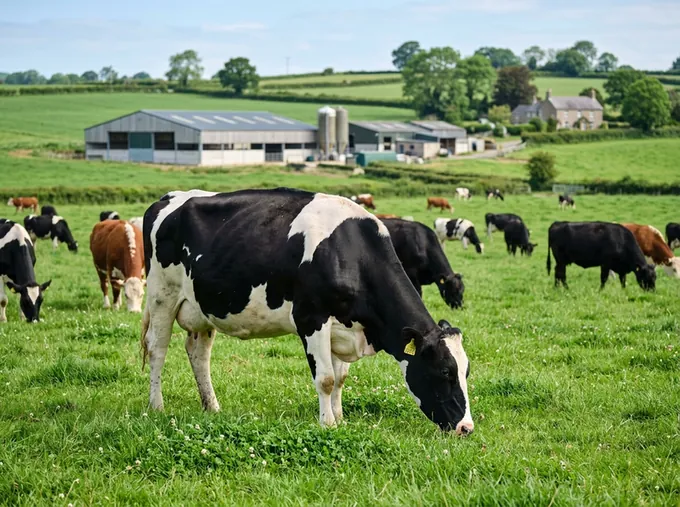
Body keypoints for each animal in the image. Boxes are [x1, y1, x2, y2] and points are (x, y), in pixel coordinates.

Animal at [141, 188, 474, 434]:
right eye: (445, 371)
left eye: (466, 371)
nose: (466, 427)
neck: (350, 252)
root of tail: (168, 198)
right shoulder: (311, 318)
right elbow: (325, 378)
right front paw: (328, 424)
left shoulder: (344, 326)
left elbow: (340, 378)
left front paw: (339, 417)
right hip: (161, 296)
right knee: (157, 349)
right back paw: (156, 406)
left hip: (202, 308)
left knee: (199, 354)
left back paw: (212, 406)